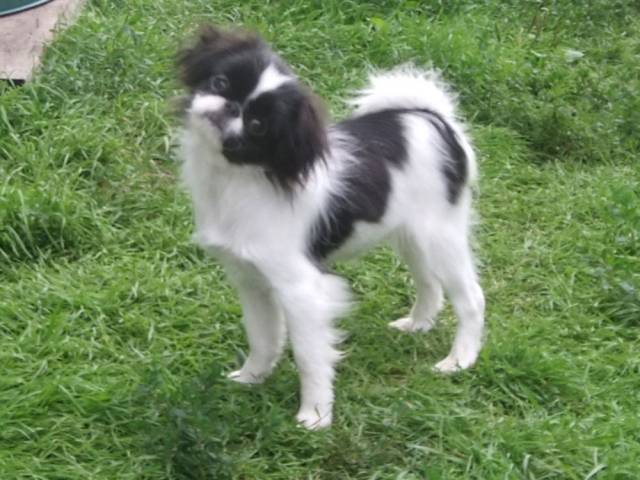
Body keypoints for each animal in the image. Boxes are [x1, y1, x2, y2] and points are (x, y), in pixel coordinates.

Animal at [176, 26, 485, 429]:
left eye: (258, 127)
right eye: (220, 82)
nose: (231, 106)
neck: (235, 178)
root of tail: (432, 118)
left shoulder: (302, 289)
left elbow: (310, 356)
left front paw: (315, 416)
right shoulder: (251, 280)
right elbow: (263, 337)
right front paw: (251, 378)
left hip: (440, 235)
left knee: (471, 298)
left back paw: (460, 360)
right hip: (410, 235)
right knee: (428, 282)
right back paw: (417, 325)